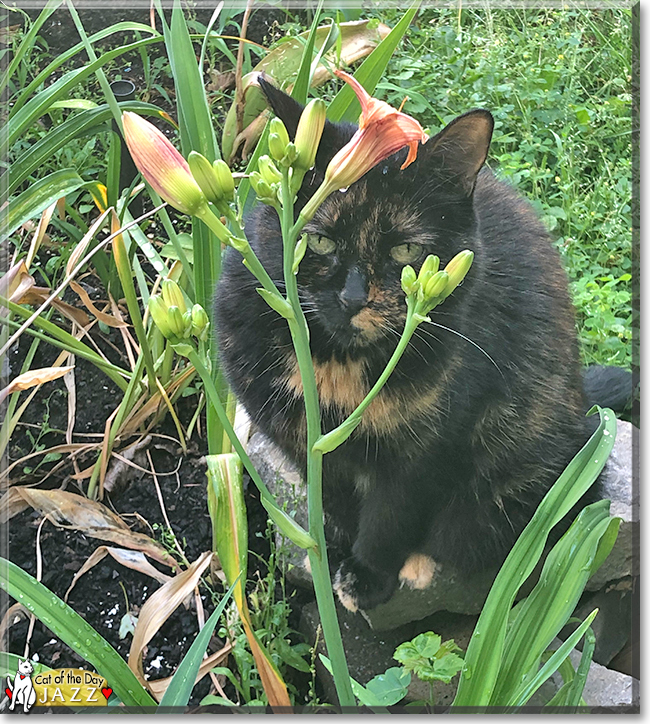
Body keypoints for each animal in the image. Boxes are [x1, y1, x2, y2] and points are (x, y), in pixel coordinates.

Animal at [215, 79, 600, 612]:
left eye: (405, 250)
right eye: (319, 241)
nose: (353, 298)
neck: (337, 367)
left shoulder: (427, 452)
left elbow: (389, 517)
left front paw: (365, 575)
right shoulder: (302, 443)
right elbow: (335, 503)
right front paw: (331, 554)